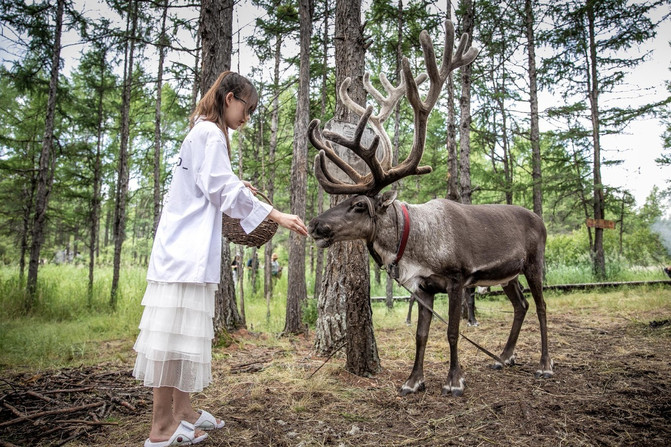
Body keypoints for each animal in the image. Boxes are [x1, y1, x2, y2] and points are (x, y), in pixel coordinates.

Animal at [307, 21, 553, 397]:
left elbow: (452, 332)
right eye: (343, 201)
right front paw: (413, 381)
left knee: (540, 307)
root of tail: (539, 219)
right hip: (507, 274)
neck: (413, 244)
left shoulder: (457, 279)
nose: (314, 224)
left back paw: (544, 364)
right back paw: (504, 357)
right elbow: (421, 335)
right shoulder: (422, 287)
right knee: (521, 305)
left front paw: (454, 380)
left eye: (360, 205)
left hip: (533, 262)